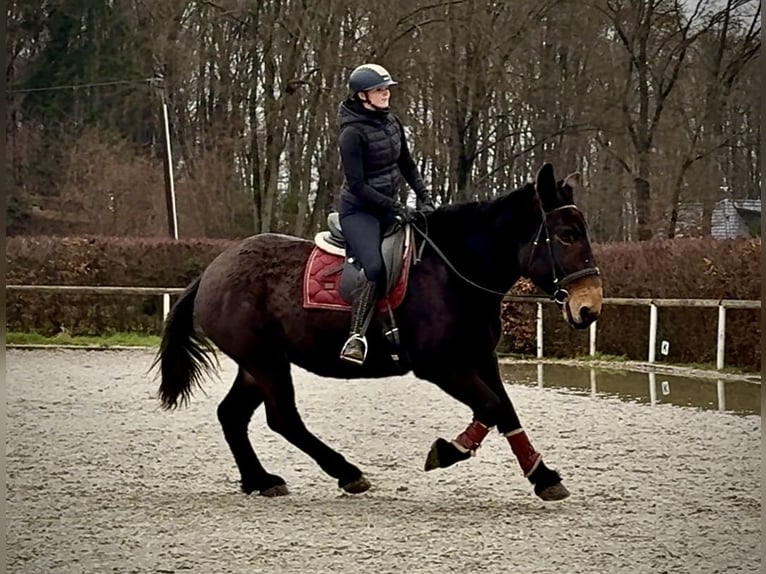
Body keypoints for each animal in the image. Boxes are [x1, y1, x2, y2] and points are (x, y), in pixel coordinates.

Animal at [153, 162, 603, 501]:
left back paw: (260, 480)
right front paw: (448, 450)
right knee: (283, 418)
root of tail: (213, 270)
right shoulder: (442, 366)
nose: (590, 307)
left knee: (232, 415)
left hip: (257, 364)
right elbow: (490, 408)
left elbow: (505, 411)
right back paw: (345, 472)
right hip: (265, 361)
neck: (452, 271)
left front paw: (543, 476)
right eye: (566, 235)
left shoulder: (479, 358)